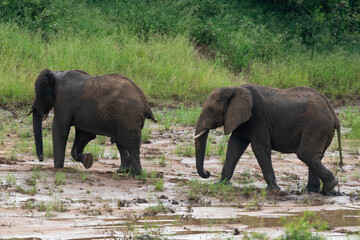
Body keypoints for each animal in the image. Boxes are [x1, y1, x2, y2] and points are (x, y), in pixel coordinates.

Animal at [28, 67, 158, 174]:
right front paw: (88, 160)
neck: (56, 74)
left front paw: (58, 168)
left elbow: (60, 130)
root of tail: (145, 102)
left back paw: (135, 174)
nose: (41, 159)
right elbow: (85, 135)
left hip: (128, 116)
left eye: (38, 92)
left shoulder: (63, 101)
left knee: (130, 143)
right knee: (120, 141)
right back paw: (122, 171)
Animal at [194, 83, 344, 194]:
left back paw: (329, 186)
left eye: (210, 110)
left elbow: (260, 147)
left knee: (306, 155)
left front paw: (273, 190)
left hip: (316, 127)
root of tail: (334, 115)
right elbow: (234, 146)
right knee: (314, 157)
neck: (234, 89)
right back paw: (311, 190)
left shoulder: (257, 117)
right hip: (320, 129)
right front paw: (221, 184)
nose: (207, 173)